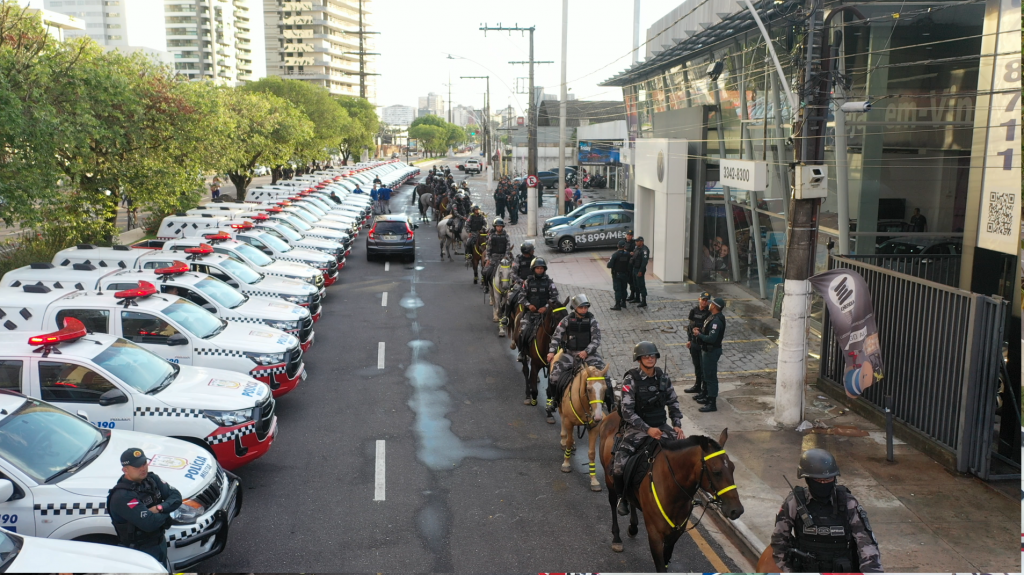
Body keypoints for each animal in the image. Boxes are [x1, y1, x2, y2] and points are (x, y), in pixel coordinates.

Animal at [557, 356, 610, 491]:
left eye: (605, 389)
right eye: (589, 389)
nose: (598, 416)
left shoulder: (594, 428)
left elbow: (591, 453)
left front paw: (594, 480)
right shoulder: (569, 421)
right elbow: (569, 442)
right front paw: (566, 463)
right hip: (562, 410)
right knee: (563, 422)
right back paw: (563, 439)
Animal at [593, 415, 745, 572]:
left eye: (733, 468)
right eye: (716, 472)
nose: (737, 510)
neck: (675, 492)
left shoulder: (675, 533)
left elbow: (666, 560)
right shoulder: (655, 534)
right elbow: (661, 566)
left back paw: (633, 527)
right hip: (610, 479)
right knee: (613, 501)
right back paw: (617, 537)